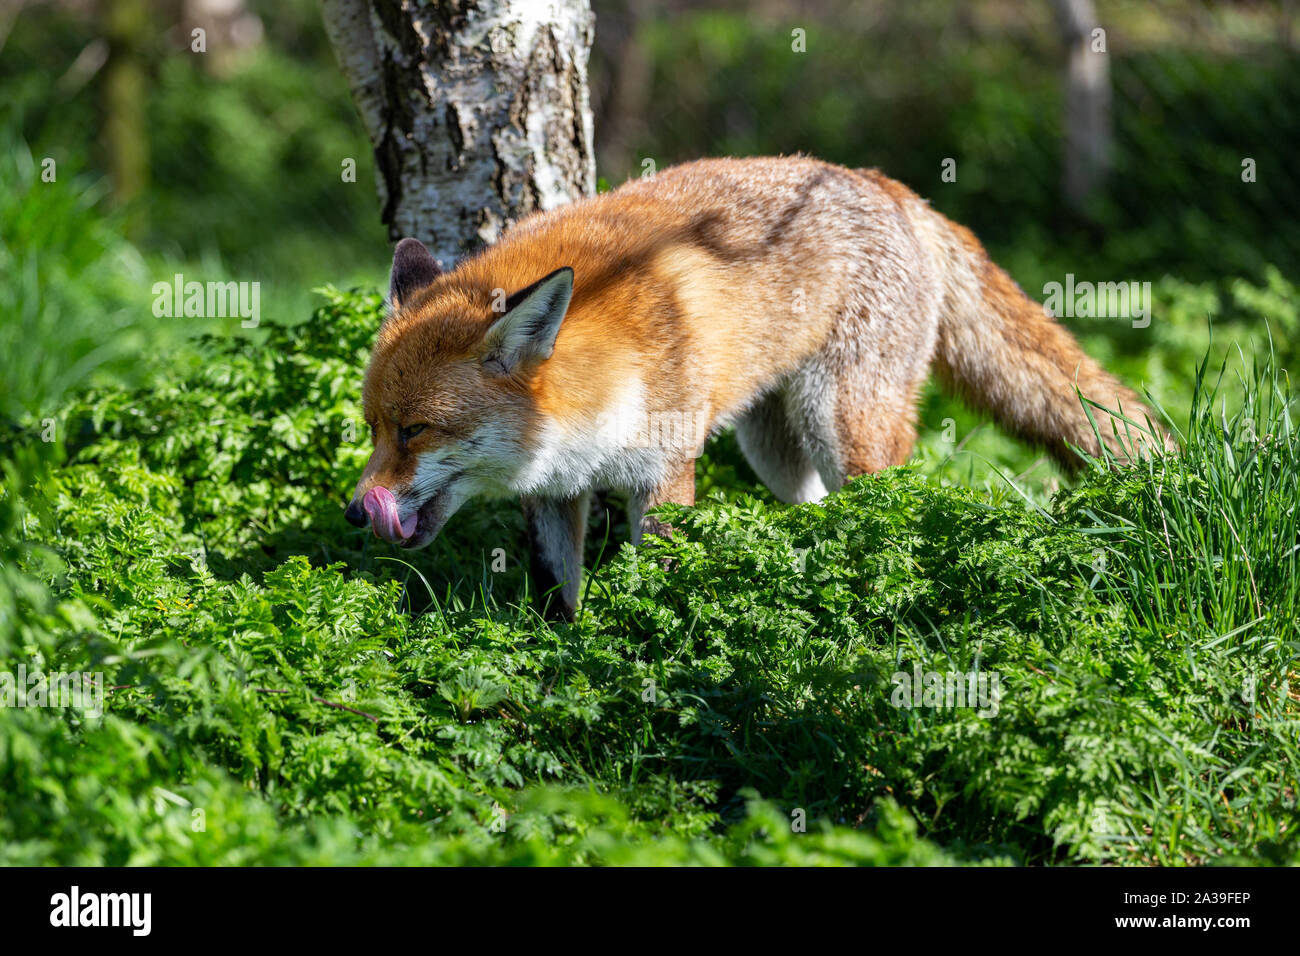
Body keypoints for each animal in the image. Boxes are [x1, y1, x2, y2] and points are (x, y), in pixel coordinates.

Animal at [344, 156, 1169, 621]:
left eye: (417, 430)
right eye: (374, 428)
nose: (356, 512)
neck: (597, 391)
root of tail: (886, 185)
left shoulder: (664, 471)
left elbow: (658, 585)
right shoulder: (554, 490)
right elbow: (557, 596)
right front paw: (561, 658)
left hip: (845, 428)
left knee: (885, 512)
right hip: (774, 449)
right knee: (814, 513)